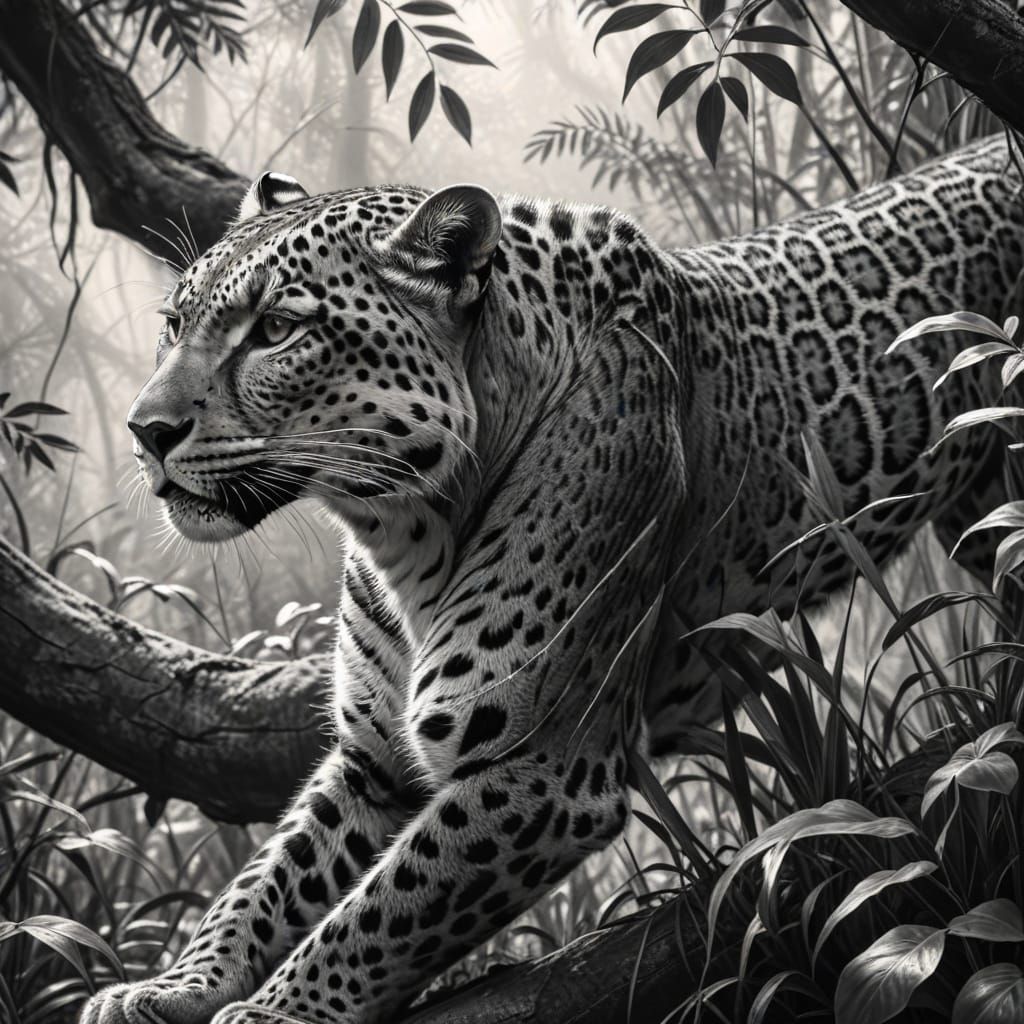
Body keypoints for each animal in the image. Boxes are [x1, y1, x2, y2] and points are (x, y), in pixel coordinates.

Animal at [83, 134, 1024, 1024]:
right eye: (175, 323)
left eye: (277, 330)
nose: (144, 430)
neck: (403, 531)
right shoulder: (371, 759)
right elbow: (267, 881)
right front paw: (176, 983)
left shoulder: (542, 768)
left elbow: (379, 911)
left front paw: (278, 1010)